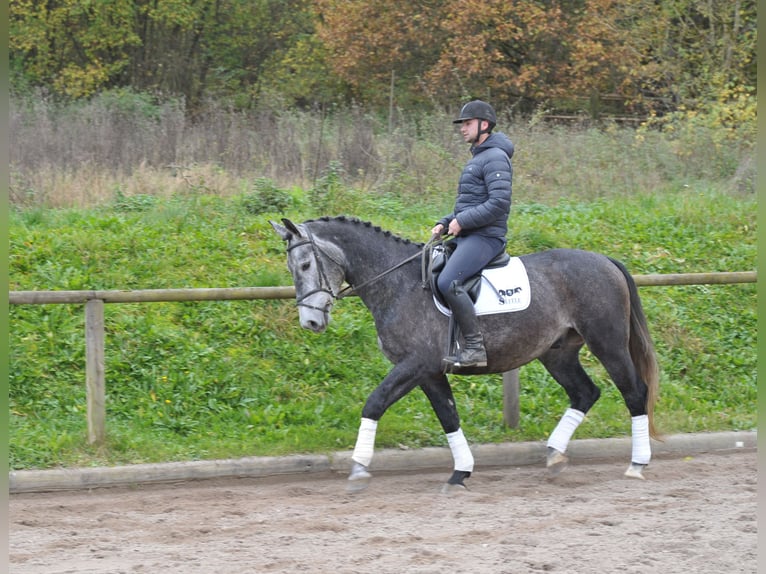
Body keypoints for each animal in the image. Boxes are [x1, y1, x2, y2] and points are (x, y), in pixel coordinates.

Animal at [270, 217, 660, 496]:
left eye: (305, 265)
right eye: (292, 268)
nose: (310, 322)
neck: (398, 284)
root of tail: (604, 260)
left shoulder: (415, 365)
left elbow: (374, 403)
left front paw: (358, 469)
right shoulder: (429, 372)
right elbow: (448, 417)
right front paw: (460, 473)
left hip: (607, 343)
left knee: (634, 392)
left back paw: (637, 464)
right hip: (558, 354)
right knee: (585, 393)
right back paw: (554, 456)